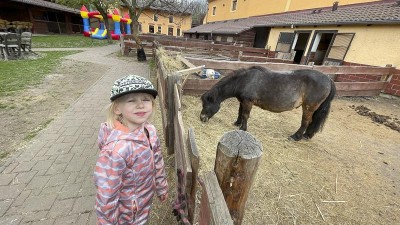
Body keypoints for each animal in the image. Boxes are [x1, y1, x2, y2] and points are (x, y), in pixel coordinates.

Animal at [199, 66, 334, 141]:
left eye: (206, 104)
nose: (202, 118)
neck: (244, 80)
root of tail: (328, 79)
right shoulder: (243, 101)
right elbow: (240, 112)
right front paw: (237, 123)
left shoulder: (248, 102)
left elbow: (245, 115)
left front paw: (243, 128)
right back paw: (307, 135)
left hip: (308, 107)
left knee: (306, 122)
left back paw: (295, 137)